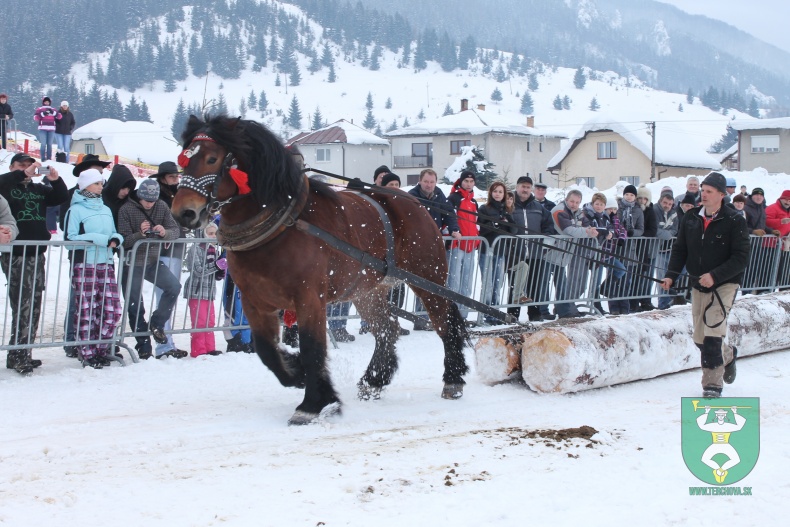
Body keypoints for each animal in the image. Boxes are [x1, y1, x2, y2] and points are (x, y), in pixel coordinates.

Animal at [172, 114, 470, 424]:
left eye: (212, 159)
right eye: (184, 159)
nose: (184, 213)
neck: (282, 224)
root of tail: (415, 203)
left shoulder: (309, 298)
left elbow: (312, 347)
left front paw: (313, 403)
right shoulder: (254, 301)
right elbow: (266, 349)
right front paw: (296, 372)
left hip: (427, 278)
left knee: (444, 325)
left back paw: (452, 379)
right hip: (367, 291)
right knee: (387, 329)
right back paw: (373, 380)